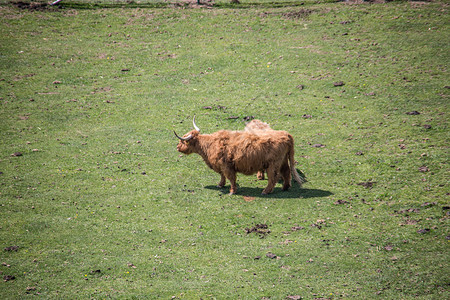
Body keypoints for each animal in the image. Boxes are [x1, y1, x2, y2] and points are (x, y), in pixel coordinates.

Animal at [173, 116, 306, 196]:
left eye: (183, 141)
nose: (177, 147)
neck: (209, 144)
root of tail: (286, 135)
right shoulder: (221, 166)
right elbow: (222, 176)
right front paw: (220, 185)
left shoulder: (227, 166)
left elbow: (231, 178)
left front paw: (232, 191)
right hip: (283, 161)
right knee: (287, 172)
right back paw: (285, 187)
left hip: (273, 165)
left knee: (273, 178)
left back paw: (265, 191)